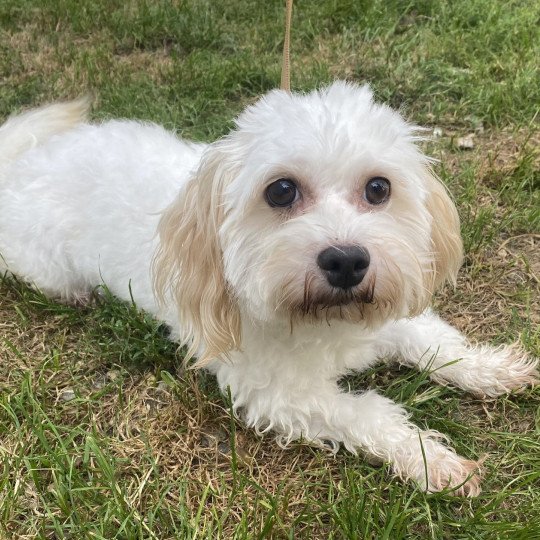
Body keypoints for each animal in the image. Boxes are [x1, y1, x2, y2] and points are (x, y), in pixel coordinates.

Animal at [0, 82, 536, 496]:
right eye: (281, 191)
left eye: (379, 188)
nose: (347, 261)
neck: (331, 322)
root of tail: (23, 163)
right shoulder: (278, 395)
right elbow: (368, 413)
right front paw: (432, 460)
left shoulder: (391, 314)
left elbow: (440, 345)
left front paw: (494, 369)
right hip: (45, 263)